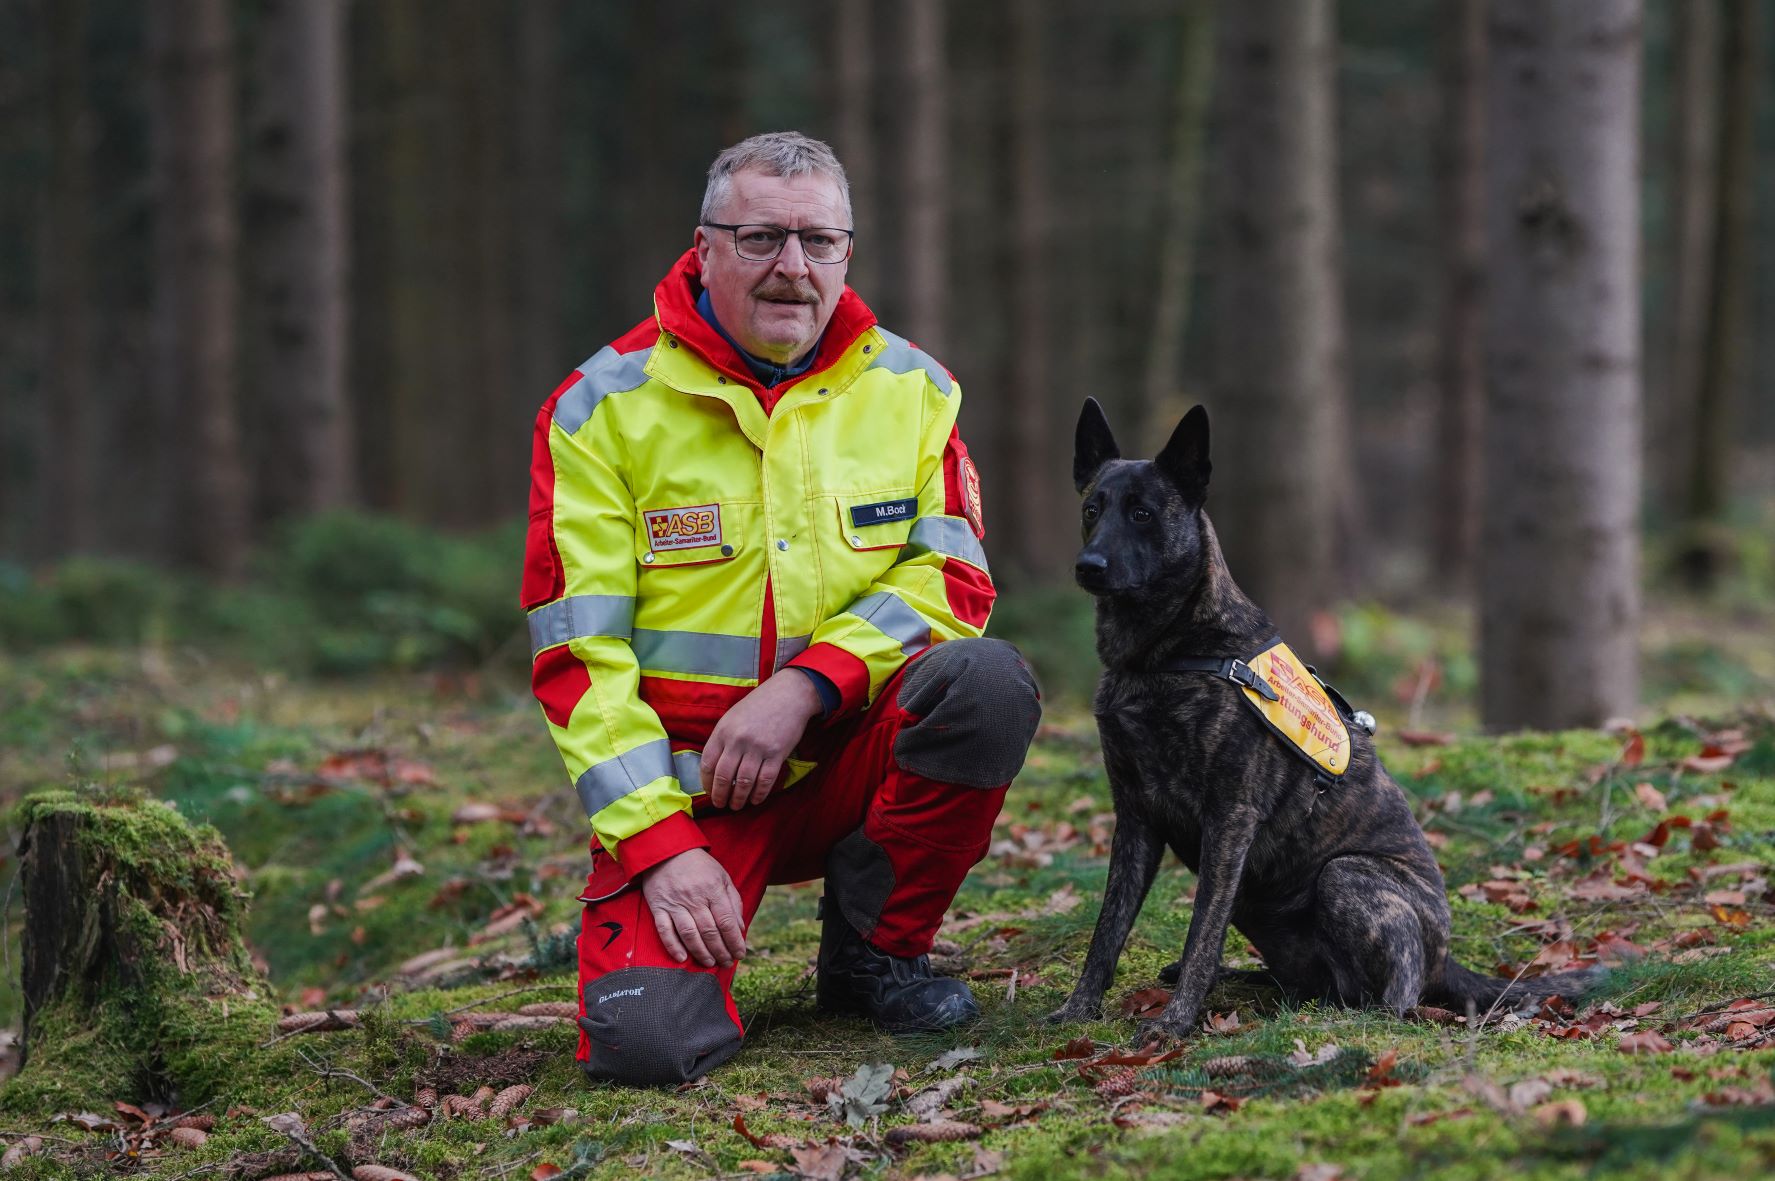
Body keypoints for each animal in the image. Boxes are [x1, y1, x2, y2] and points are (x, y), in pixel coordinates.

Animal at [1043, 397, 1604, 1044]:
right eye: (1092, 509)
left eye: (1143, 513)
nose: (1088, 566)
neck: (1164, 655)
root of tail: (1446, 959)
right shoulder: (1134, 818)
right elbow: (1107, 931)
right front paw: (1079, 1008)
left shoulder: (1229, 819)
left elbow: (1201, 931)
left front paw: (1175, 1022)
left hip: (1346, 876)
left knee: (1394, 998)